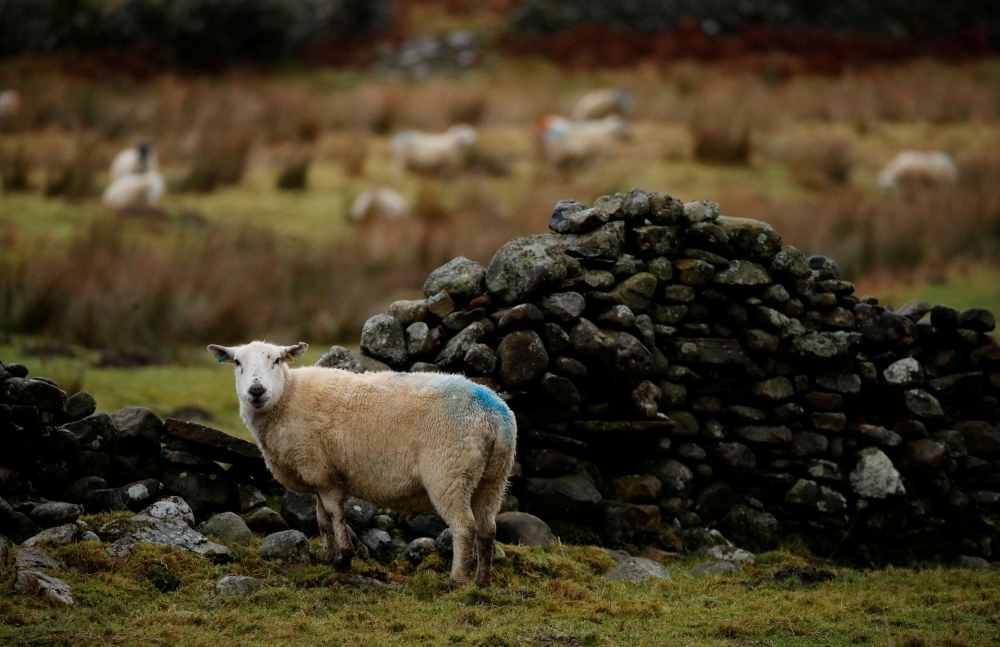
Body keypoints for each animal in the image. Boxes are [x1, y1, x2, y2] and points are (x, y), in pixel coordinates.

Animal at [208, 341, 517, 588]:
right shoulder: (319, 477)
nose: (256, 390)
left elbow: (335, 515)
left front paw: (343, 558)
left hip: (450, 473)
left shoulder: (324, 474)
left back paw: (457, 581)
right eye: (237, 362)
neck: (287, 397)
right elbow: (322, 519)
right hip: (493, 478)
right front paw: (329, 556)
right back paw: (482, 582)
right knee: (487, 529)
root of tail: (494, 415)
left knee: (465, 528)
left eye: (277, 360)